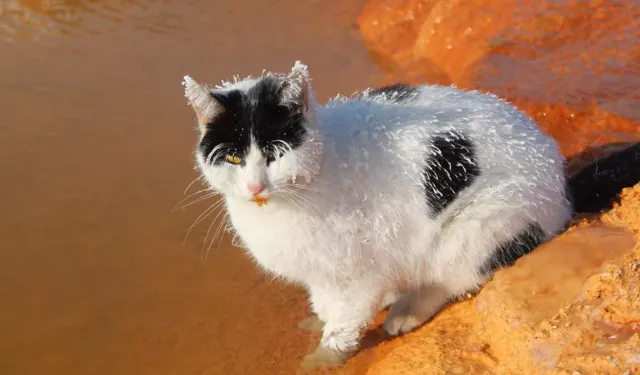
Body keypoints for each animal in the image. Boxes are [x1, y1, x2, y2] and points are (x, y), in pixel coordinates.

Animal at [179, 61, 640, 370]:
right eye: (234, 158)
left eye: (275, 154)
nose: (255, 187)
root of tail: (561, 182)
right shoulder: (322, 273)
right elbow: (326, 303)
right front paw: (320, 321)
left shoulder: (357, 272)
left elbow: (344, 324)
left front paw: (322, 359)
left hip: (477, 226)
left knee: (452, 278)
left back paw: (406, 310)